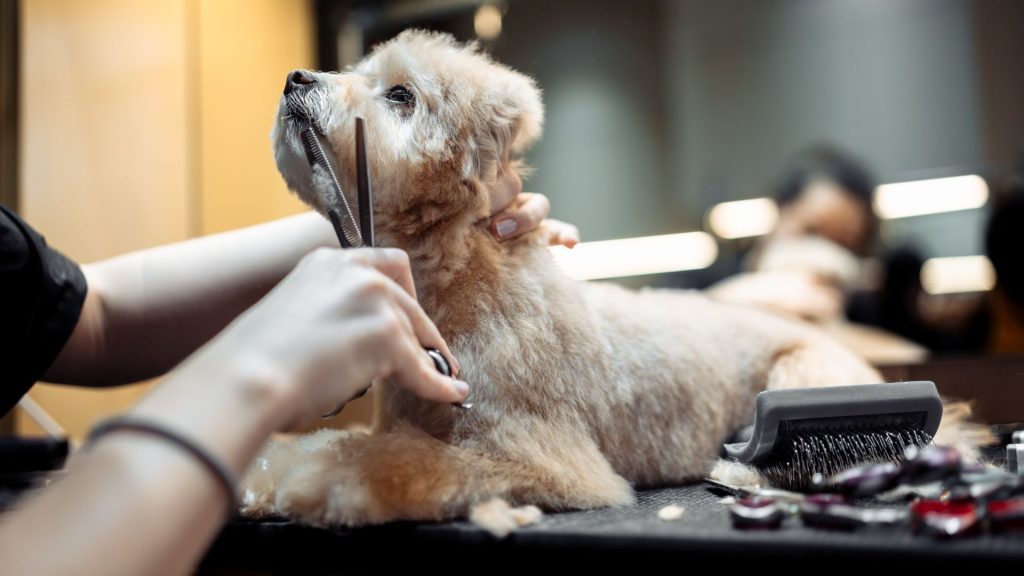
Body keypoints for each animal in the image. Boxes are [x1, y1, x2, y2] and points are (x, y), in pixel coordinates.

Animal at [239, 29, 983, 532]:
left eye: (400, 95)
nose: (296, 78)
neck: (459, 282)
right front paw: (264, 477)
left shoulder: (543, 460)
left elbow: (402, 463)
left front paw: (320, 478)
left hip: (806, 379)